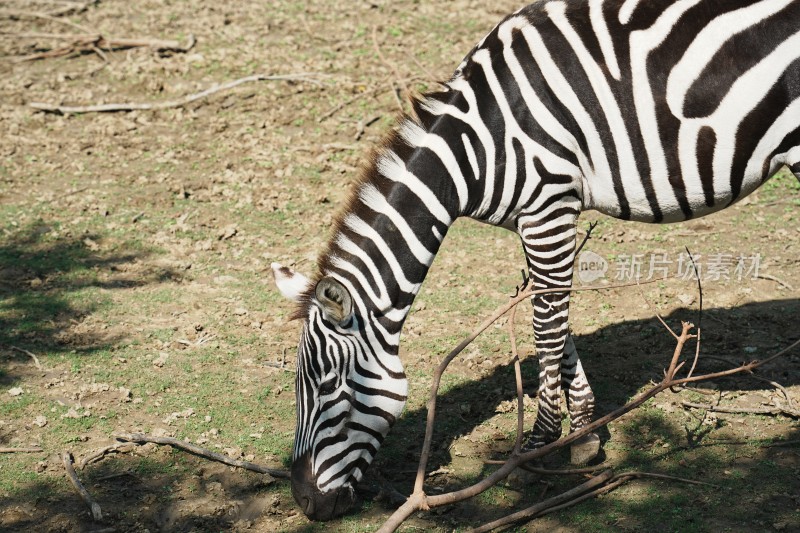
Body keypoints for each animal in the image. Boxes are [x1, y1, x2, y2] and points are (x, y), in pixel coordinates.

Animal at [272, 0, 796, 520]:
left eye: (329, 388)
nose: (305, 502)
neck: (476, 145)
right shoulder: (533, 218)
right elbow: (554, 317)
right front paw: (583, 434)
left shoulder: (549, 205)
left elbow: (545, 324)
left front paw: (538, 443)